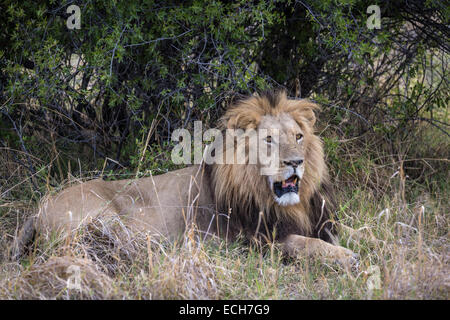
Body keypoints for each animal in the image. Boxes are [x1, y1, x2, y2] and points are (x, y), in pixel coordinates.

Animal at [12, 91, 358, 268]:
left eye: (298, 136)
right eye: (269, 140)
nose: (296, 162)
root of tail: (38, 209)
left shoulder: (321, 220)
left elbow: (350, 231)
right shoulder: (257, 240)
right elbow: (305, 244)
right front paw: (346, 257)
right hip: (104, 220)